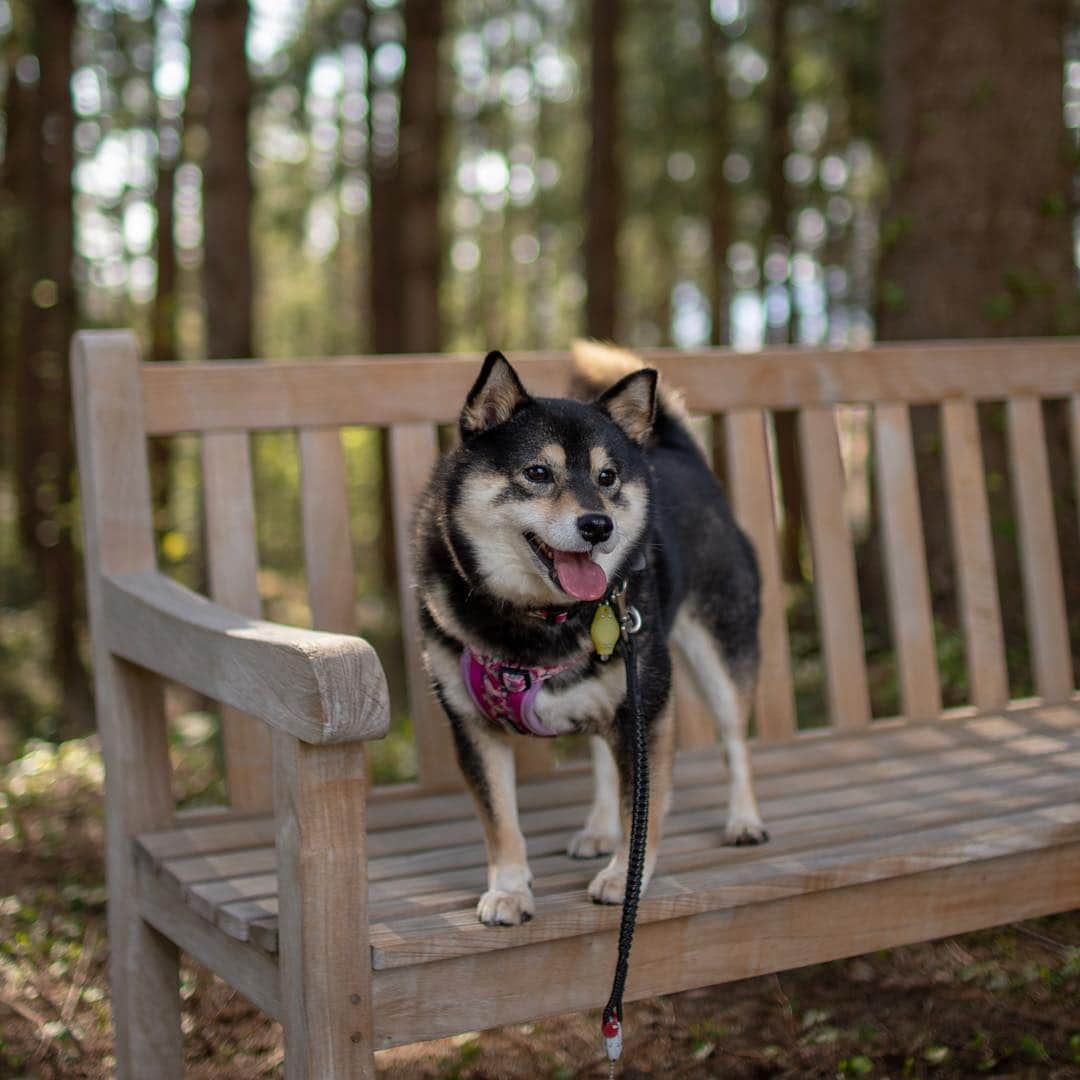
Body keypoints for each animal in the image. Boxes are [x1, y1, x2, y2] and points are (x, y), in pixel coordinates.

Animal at [412, 341, 768, 924]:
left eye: (607, 478)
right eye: (537, 471)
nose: (598, 525)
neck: (541, 620)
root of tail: (681, 455)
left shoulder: (649, 708)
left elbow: (641, 807)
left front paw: (627, 878)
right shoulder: (473, 727)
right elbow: (501, 823)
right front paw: (510, 889)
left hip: (720, 652)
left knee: (734, 740)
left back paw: (744, 821)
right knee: (604, 756)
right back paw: (599, 829)